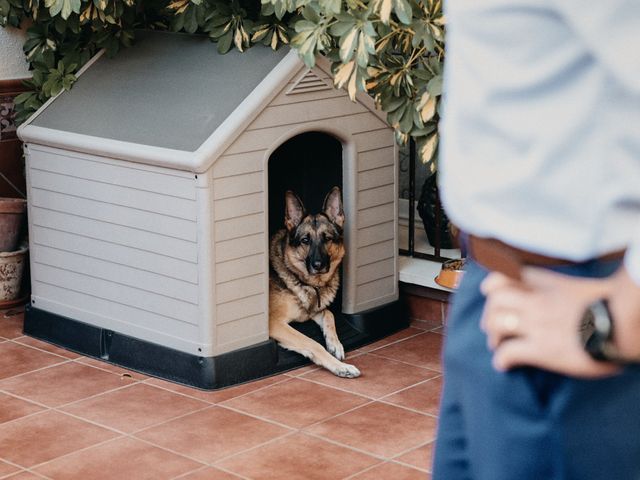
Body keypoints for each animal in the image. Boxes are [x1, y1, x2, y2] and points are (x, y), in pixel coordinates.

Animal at [268, 188, 360, 378]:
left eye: (327, 239)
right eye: (305, 240)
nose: (318, 265)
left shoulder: (313, 311)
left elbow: (329, 314)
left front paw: (335, 344)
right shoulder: (275, 323)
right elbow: (312, 343)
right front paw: (341, 367)